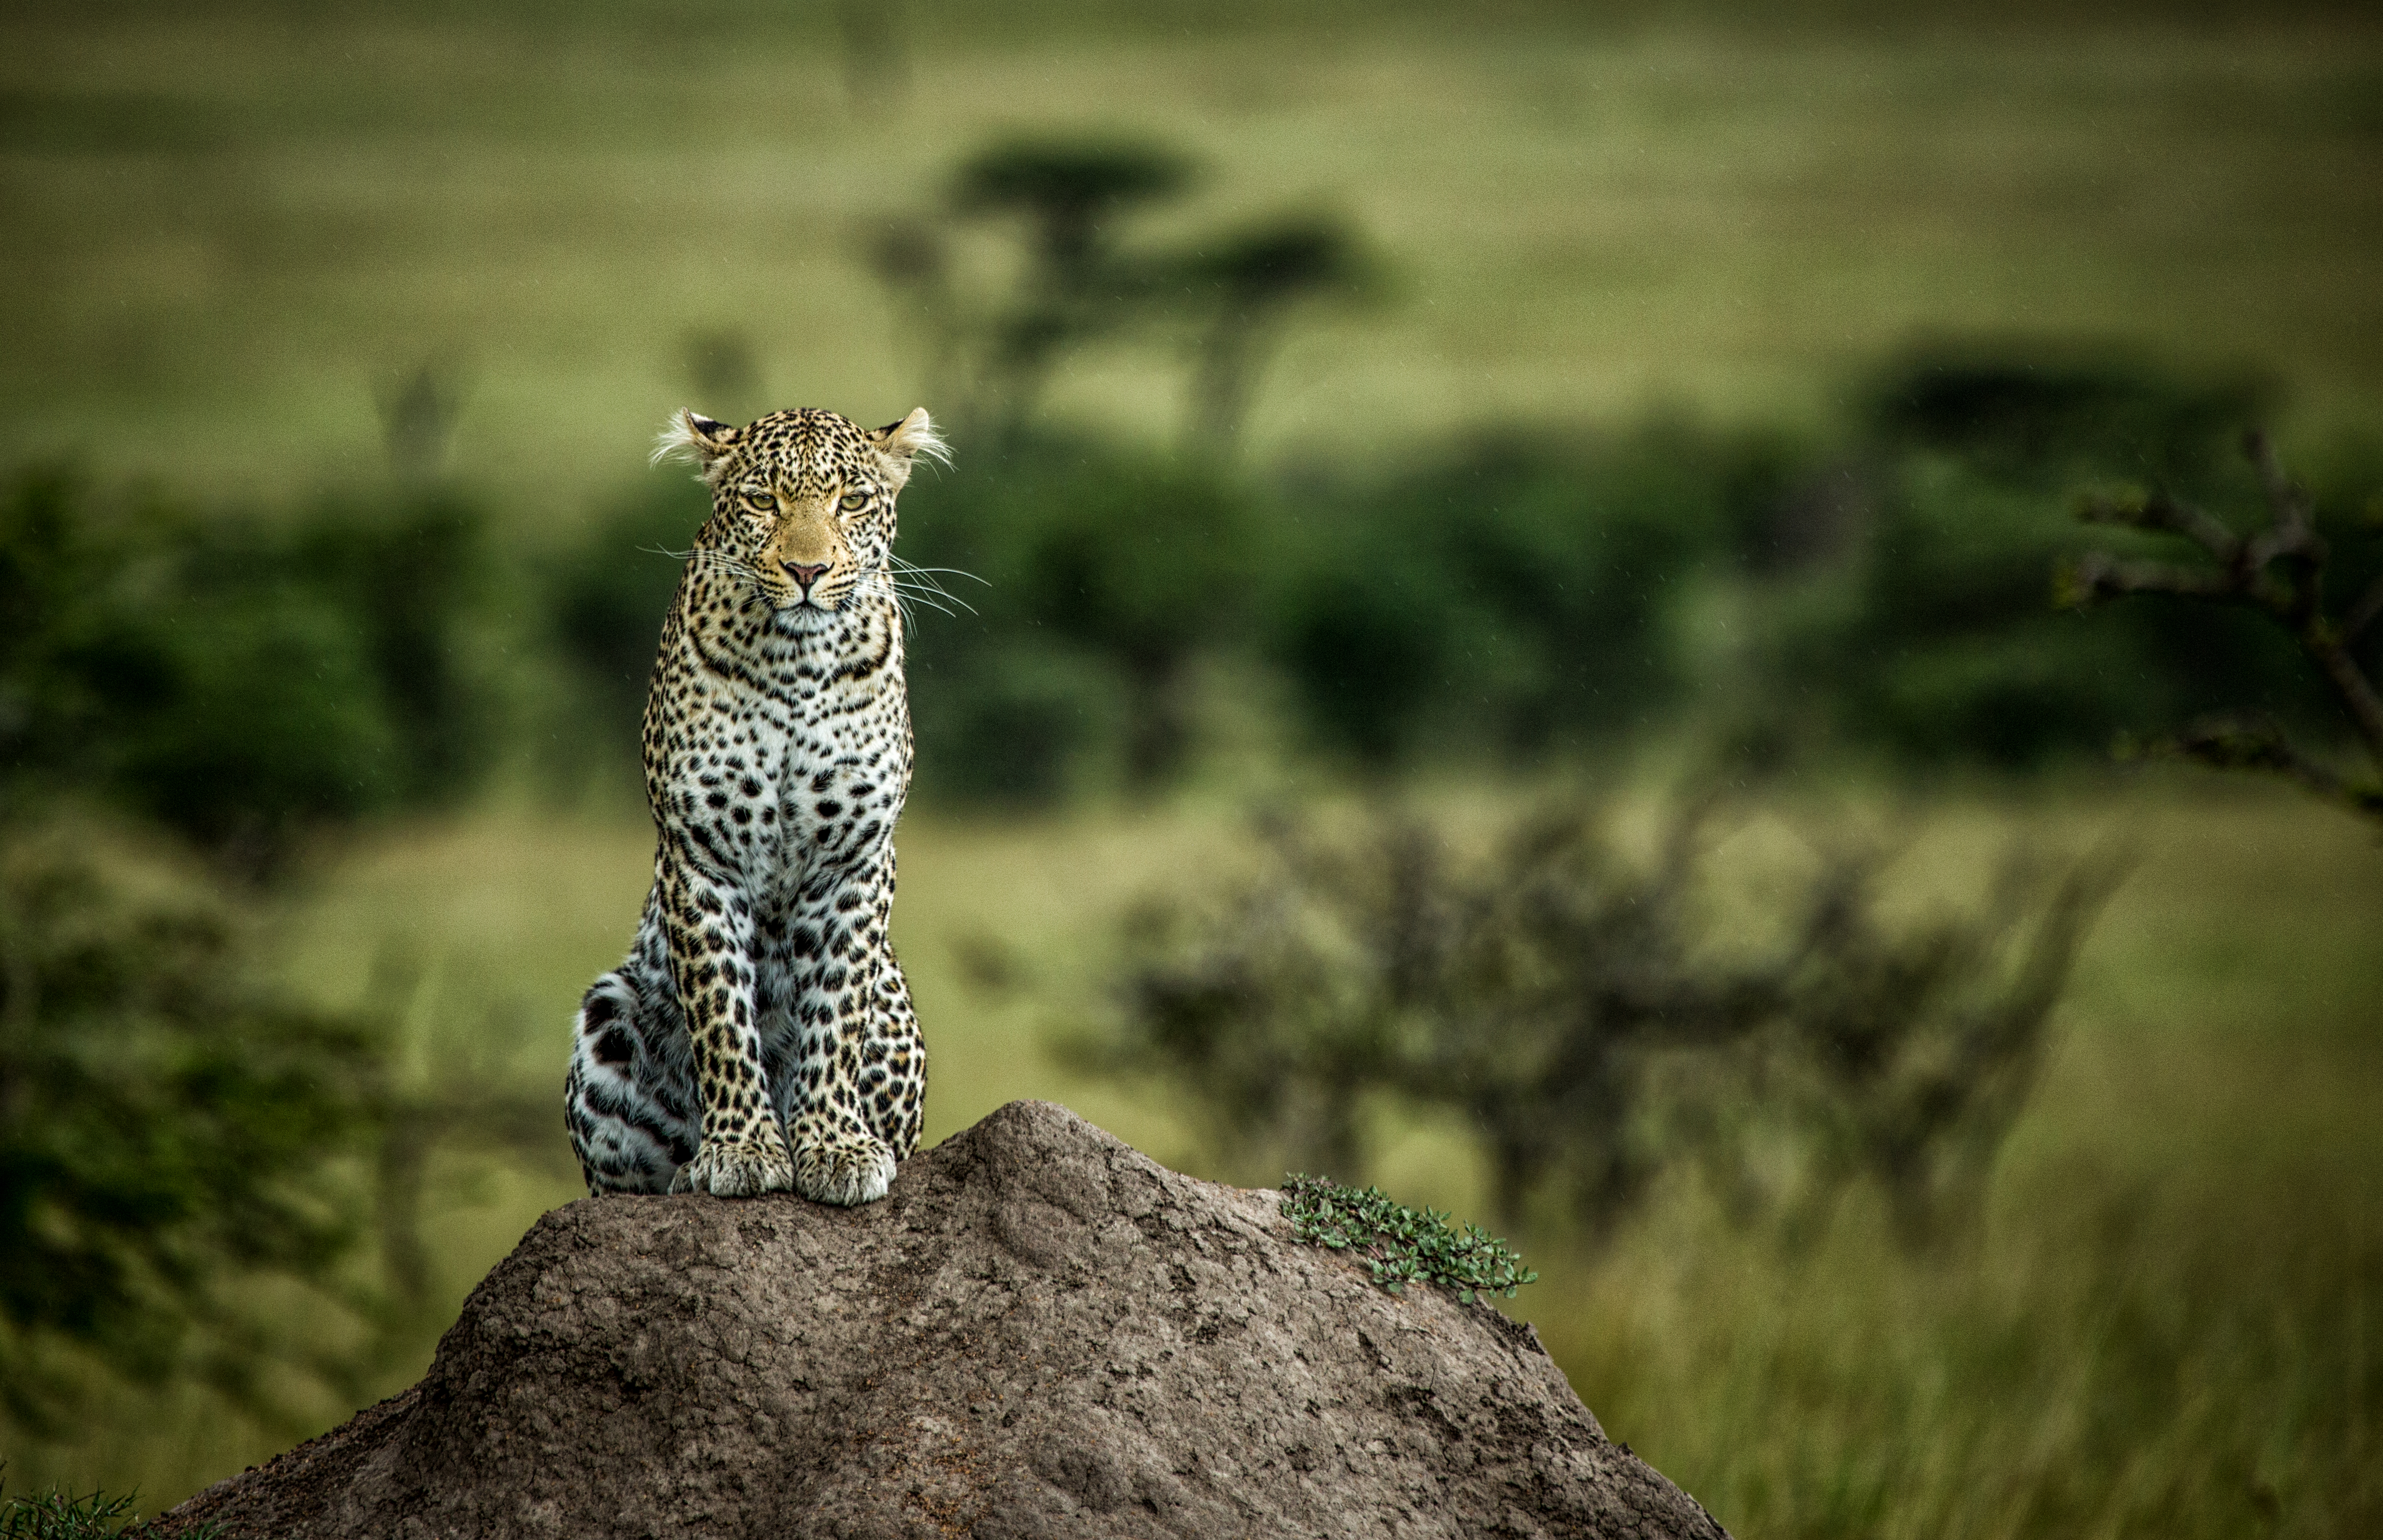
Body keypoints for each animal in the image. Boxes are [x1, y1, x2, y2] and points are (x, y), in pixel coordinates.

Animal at [564, 404, 947, 1205]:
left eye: (852, 502)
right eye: (762, 501)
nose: (807, 572)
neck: (795, 664)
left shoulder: (856, 858)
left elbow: (835, 1010)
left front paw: (834, 1149)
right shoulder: (700, 853)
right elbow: (720, 1014)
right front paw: (740, 1150)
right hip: (607, 1015)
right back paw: (687, 1168)